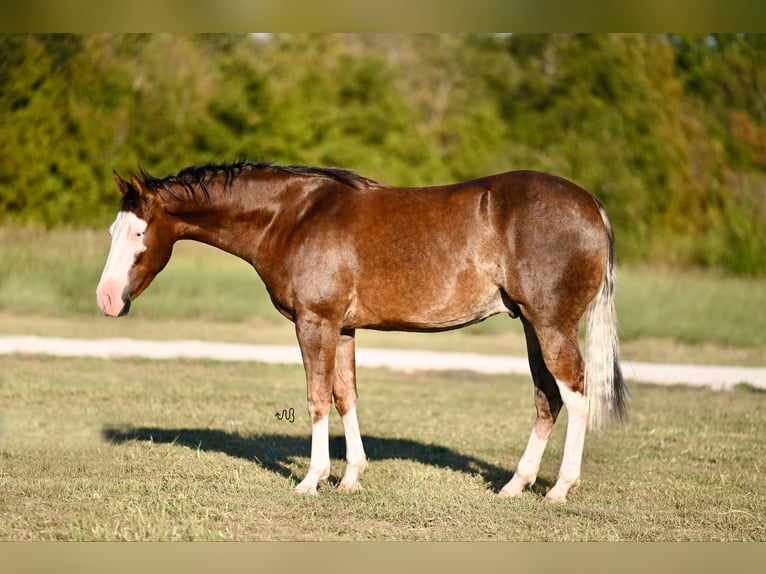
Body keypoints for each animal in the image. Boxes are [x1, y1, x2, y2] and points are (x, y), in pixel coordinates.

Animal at [96, 162, 628, 504]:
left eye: (139, 233)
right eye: (112, 232)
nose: (107, 299)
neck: (291, 217)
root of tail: (593, 205)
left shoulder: (315, 322)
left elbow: (316, 398)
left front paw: (312, 479)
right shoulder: (344, 327)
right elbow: (344, 395)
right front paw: (351, 476)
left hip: (551, 326)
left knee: (576, 395)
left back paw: (559, 489)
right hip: (533, 329)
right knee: (548, 399)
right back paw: (516, 485)